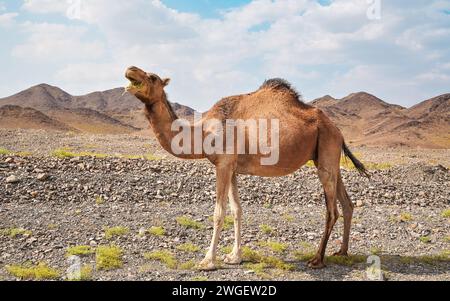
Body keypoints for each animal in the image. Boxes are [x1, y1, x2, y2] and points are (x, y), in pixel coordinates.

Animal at [124, 66, 370, 270]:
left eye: (152, 77)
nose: (130, 69)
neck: (203, 133)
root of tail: (337, 130)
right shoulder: (232, 167)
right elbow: (237, 210)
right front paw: (234, 257)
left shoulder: (223, 165)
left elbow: (219, 212)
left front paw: (207, 261)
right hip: (327, 156)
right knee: (346, 203)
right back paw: (342, 251)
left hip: (327, 148)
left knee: (331, 210)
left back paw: (317, 259)